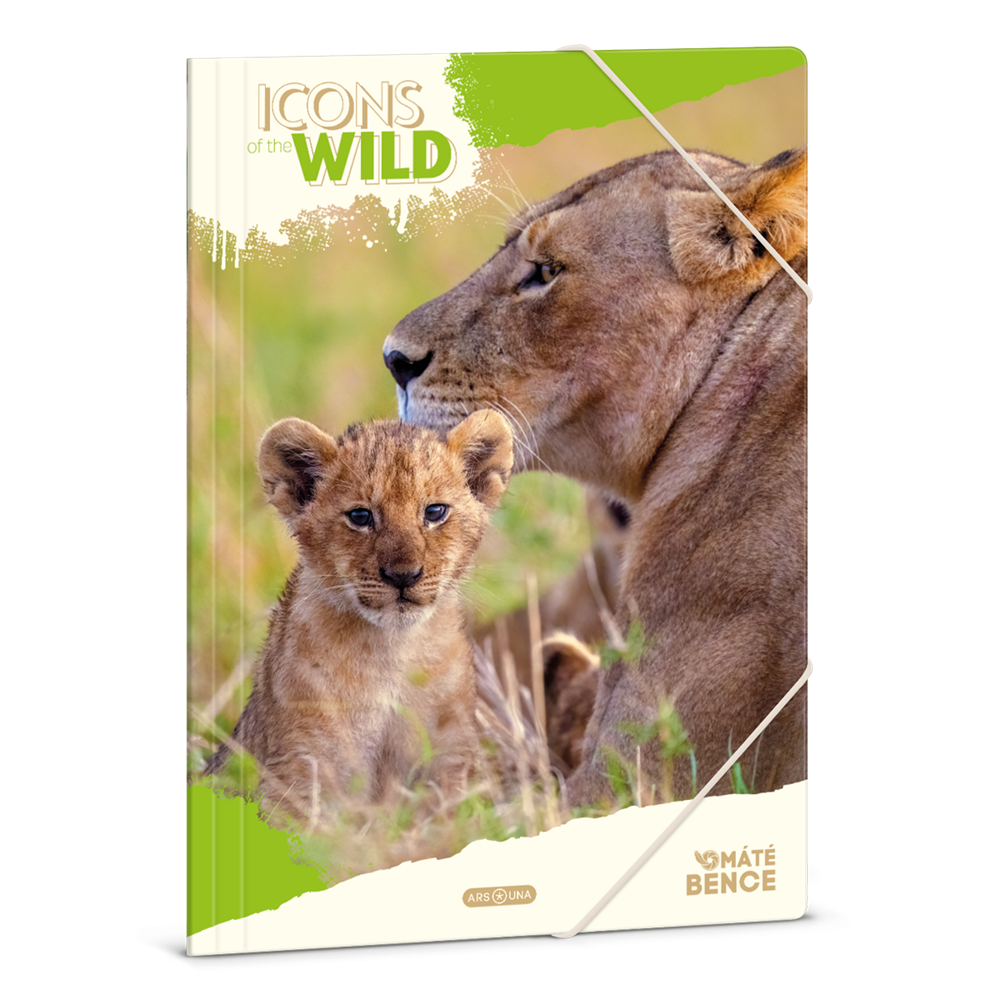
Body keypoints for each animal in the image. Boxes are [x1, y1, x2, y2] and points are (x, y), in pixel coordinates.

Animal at [203, 412, 514, 819]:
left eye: (434, 512)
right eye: (361, 516)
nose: (403, 575)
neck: (392, 652)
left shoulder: (452, 757)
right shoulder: (299, 767)